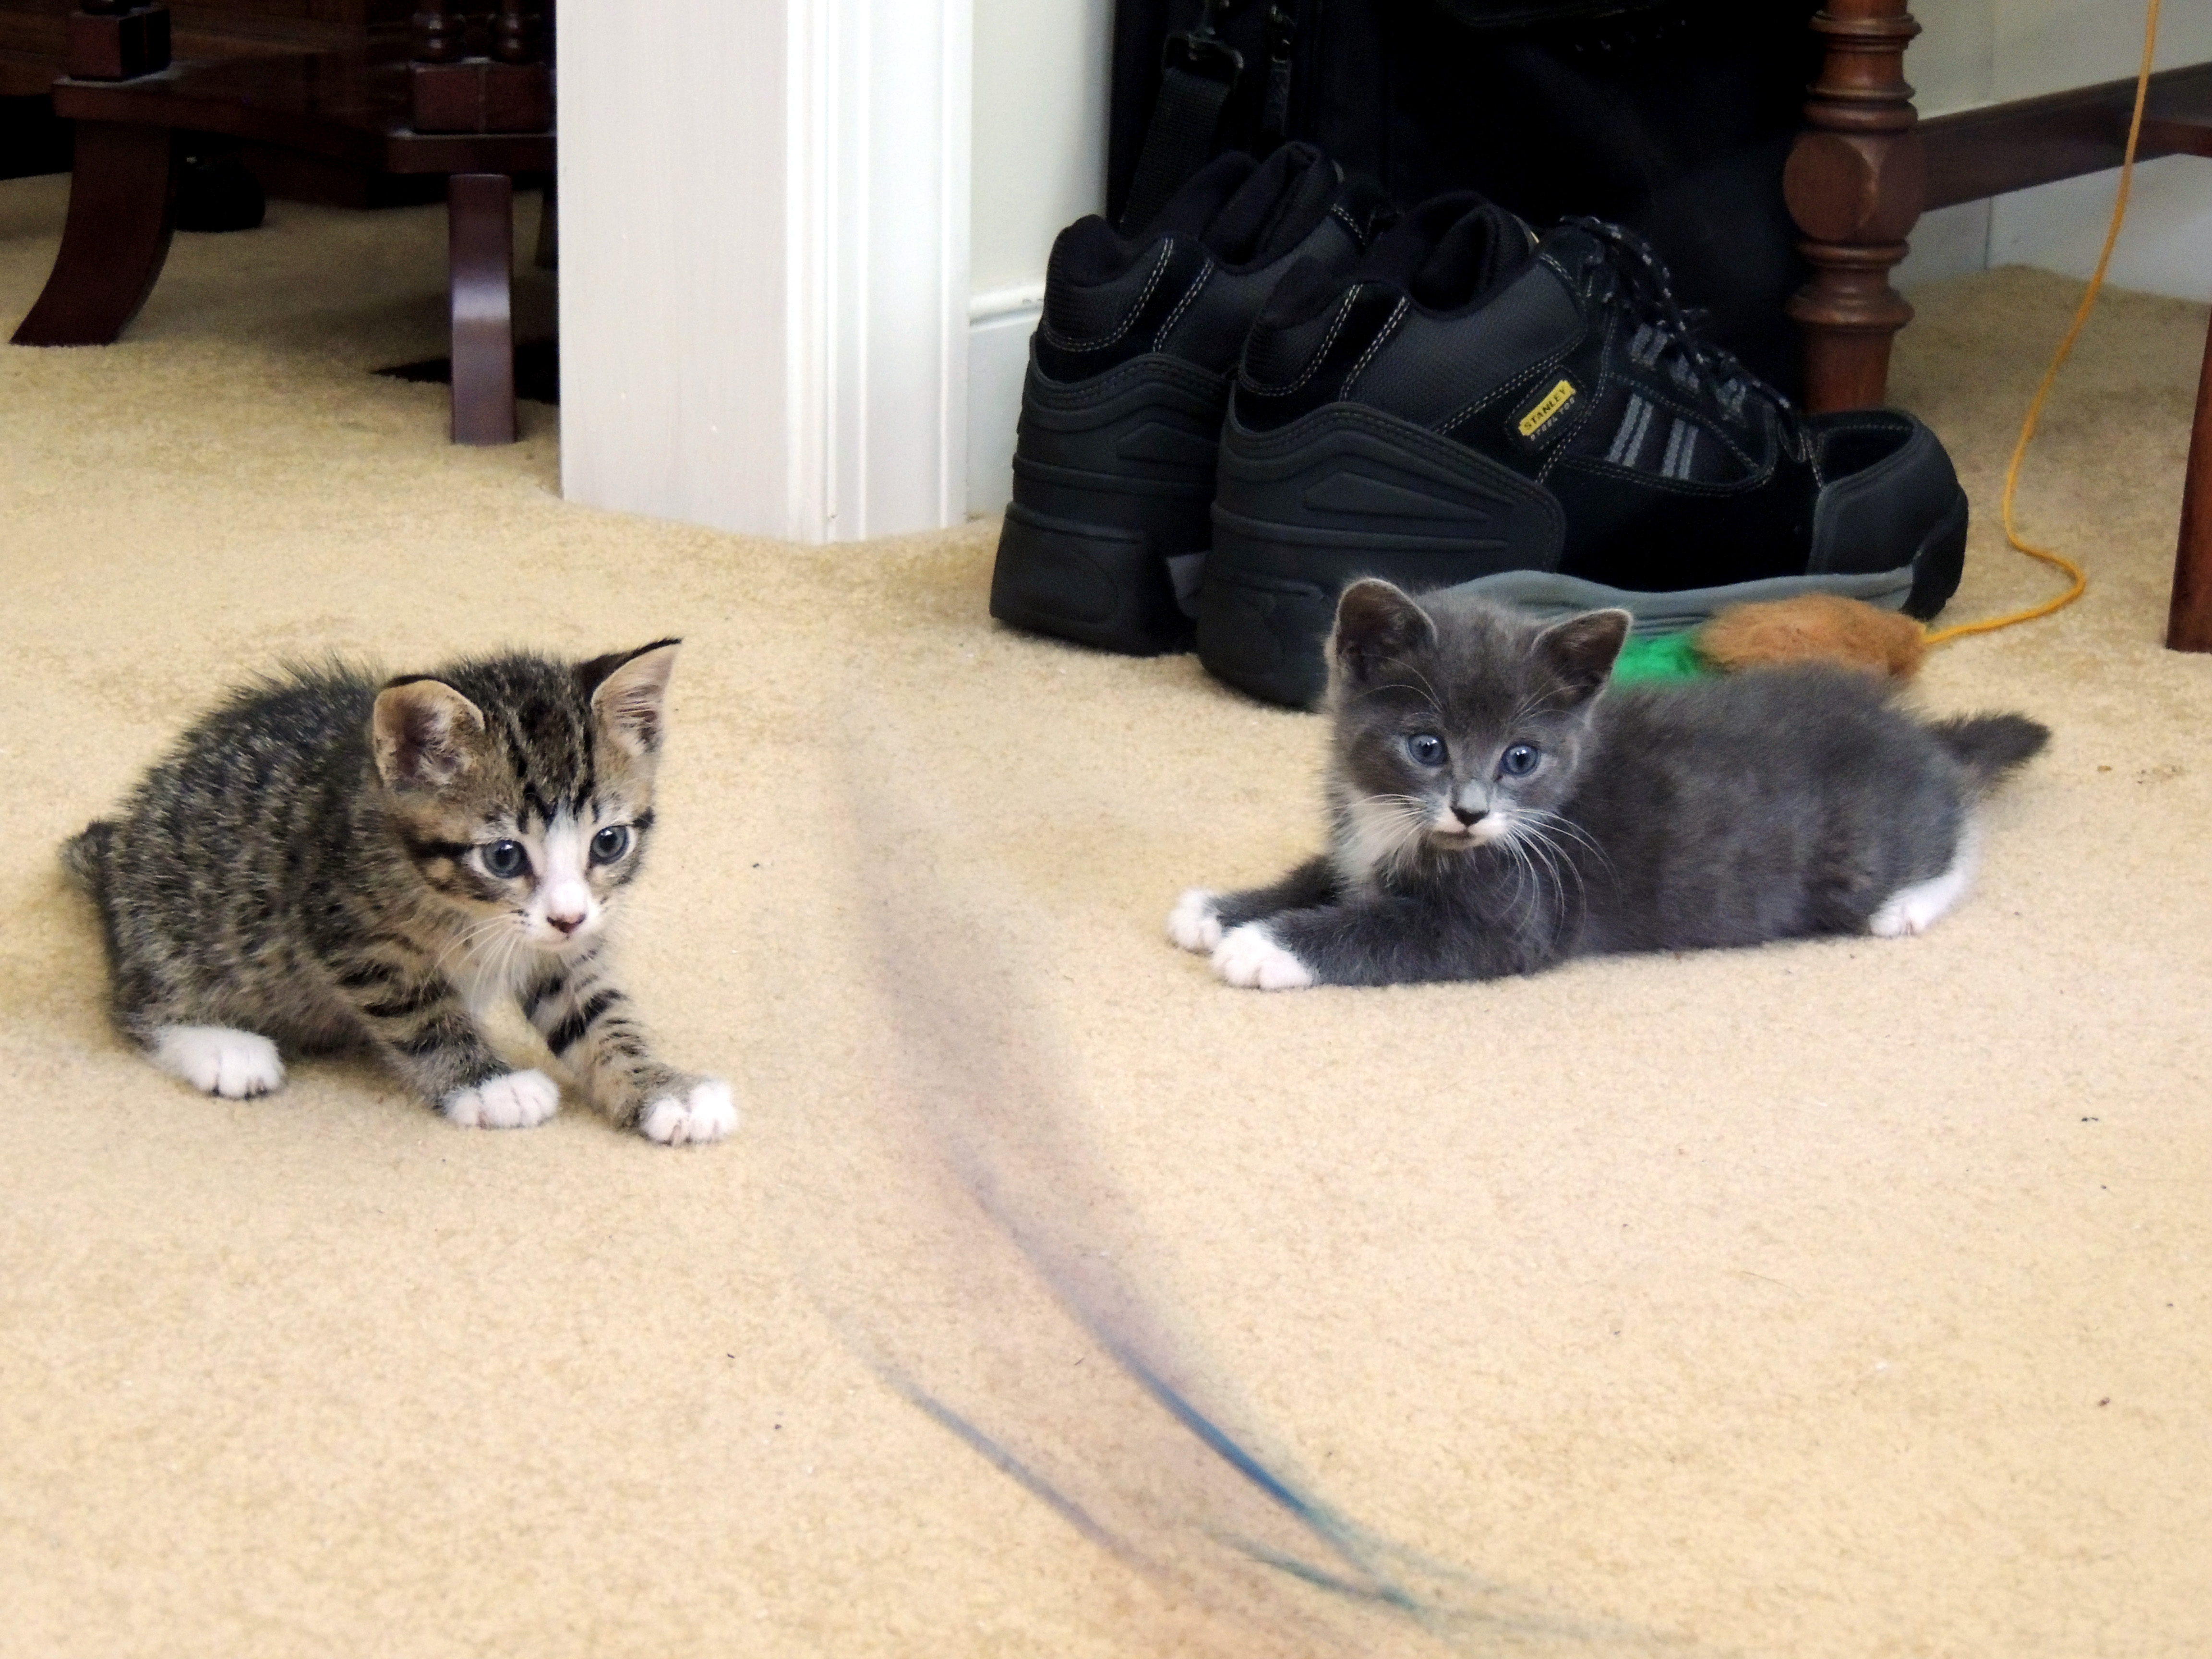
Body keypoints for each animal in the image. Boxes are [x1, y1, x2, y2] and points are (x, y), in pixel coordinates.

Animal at [61, 640, 735, 1144]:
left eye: (609, 843)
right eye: (504, 855)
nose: (567, 917)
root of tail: (119, 857)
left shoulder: (566, 942)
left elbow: (597, 1012)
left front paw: (662, 1089)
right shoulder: (351, 932)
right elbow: (424, 1014)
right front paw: (490, 1085)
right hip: (180, 925)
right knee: (139, 1006)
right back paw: (223, 1049)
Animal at [1169, 580, 2048, 990]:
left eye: (1521, 758)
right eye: (1427, 746)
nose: (1469, 811)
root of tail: (1912, 734)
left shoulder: (1512, 918)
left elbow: (1382, 928)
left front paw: (1266, 944)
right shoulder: (1364, 834)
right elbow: (1327, 873)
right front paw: (1223, 908)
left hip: (1861, 853)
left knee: (1956, 832)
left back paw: (1909, 905)